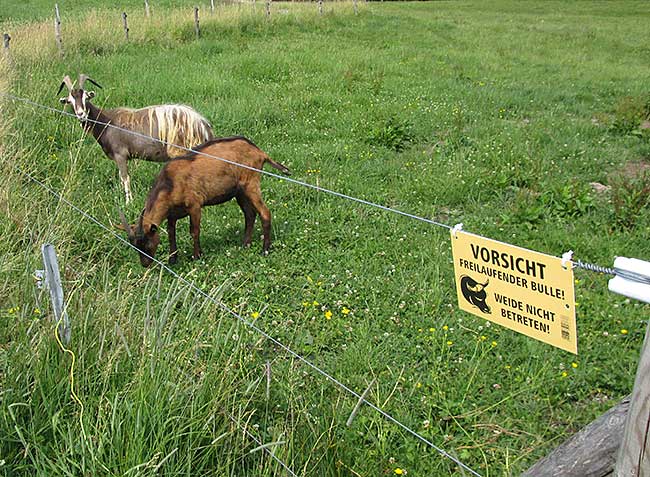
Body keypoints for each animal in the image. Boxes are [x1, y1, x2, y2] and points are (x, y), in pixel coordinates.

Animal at [118, 136, 288, 266]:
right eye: (135, 246)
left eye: (147, 242)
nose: (145, 264)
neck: (170, 183)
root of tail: (259, 152)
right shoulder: (172, 214)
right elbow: (171, 233)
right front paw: (173, 259)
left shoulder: (195, 205)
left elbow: (194, 231)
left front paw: (196, 256)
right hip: (239, 191)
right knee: (249, 214)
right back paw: (245, 245)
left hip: (251, 183)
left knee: (265, 212)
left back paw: (265, 250)